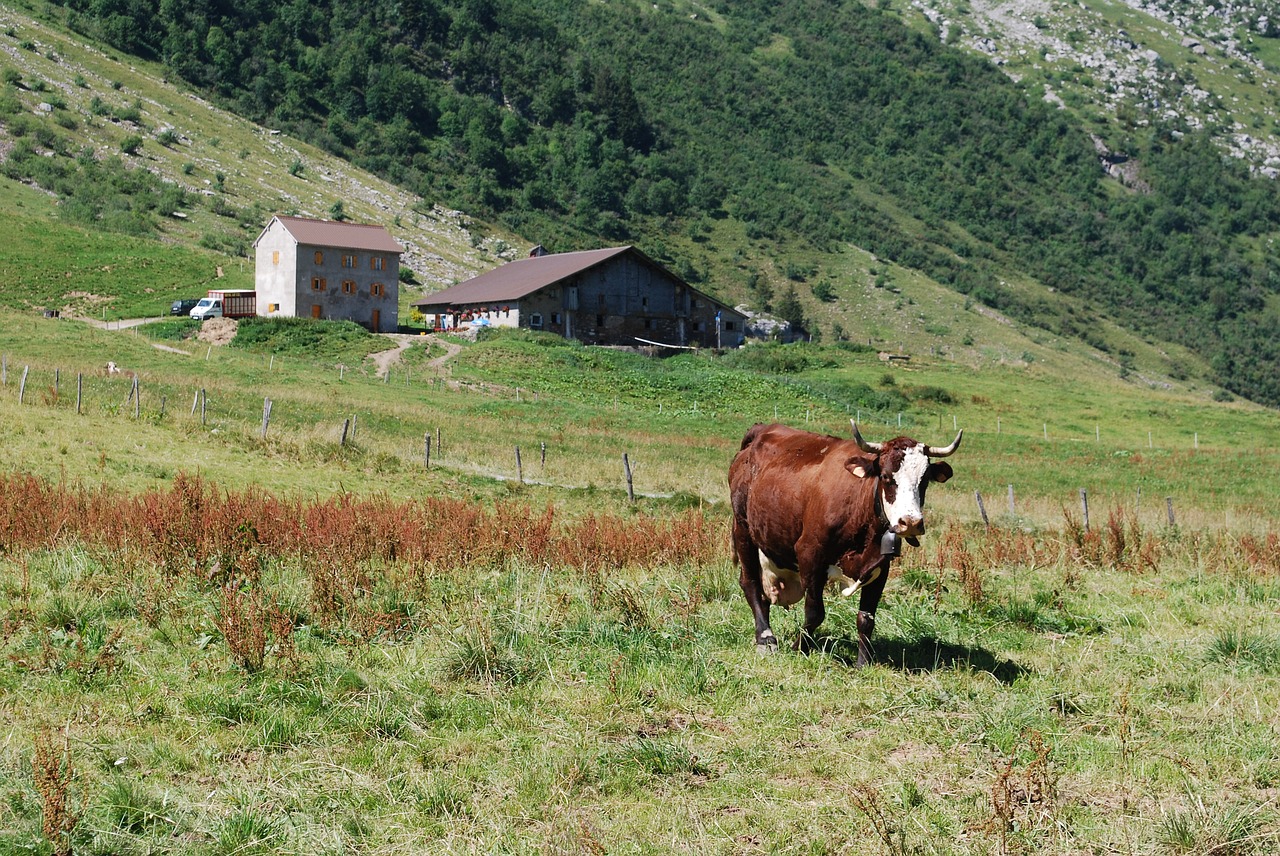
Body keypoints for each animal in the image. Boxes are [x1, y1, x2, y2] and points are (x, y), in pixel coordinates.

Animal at [732, 419, 962, 665]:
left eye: (924, 480)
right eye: (886, 477)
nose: (910, 522)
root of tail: (761, 429)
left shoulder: (881, 566)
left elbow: (866, 618)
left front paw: (863, 662)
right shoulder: (810, 554)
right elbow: (815, 612)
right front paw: (799, 647)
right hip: (743, 528)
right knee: (751, 583)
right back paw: (765, 638)